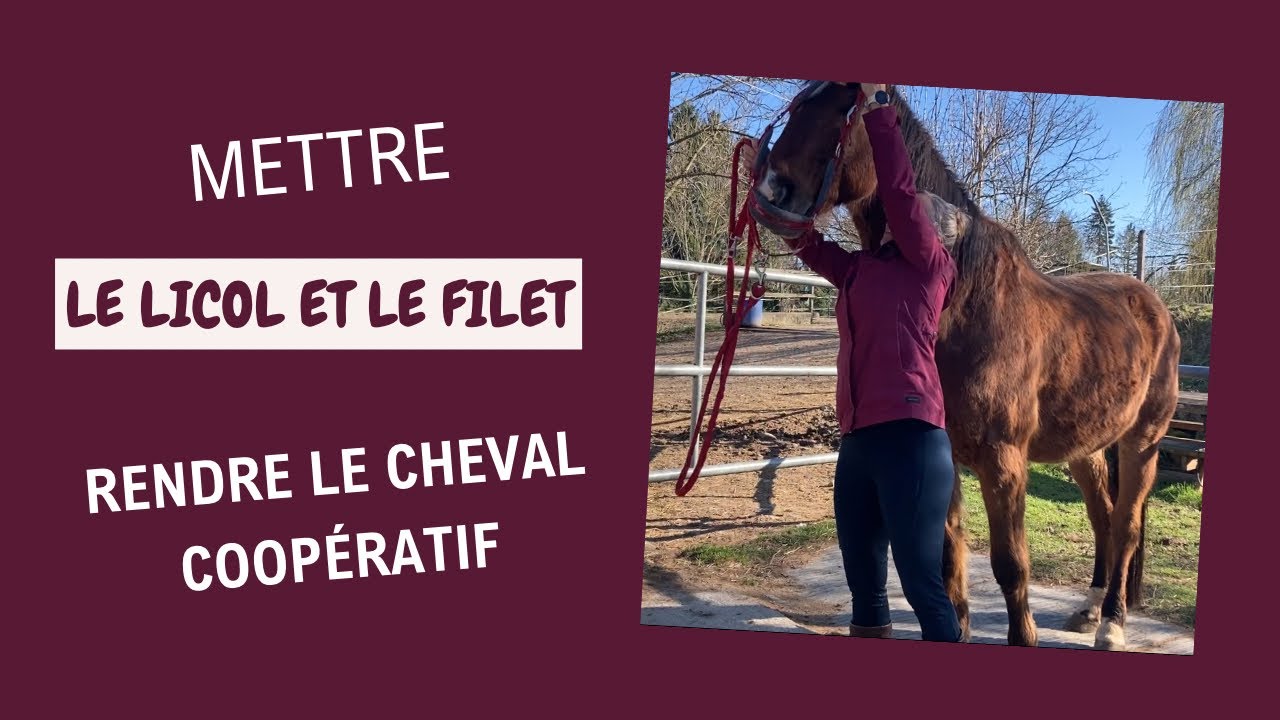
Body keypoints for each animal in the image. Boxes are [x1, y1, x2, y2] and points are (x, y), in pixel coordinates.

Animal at [748, 82, 1181, 651]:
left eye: (843, 112)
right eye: (798, 105)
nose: (771, 189)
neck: (963, 301)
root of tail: (1154, 307)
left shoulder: (1004, 462)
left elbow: (1010, 566)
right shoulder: (947, 459)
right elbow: (948, 558)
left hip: (1141, 442)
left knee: (1127, 526)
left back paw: (1111, 625)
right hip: (1085, 448)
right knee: (1103, 518)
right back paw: (1089, 610)